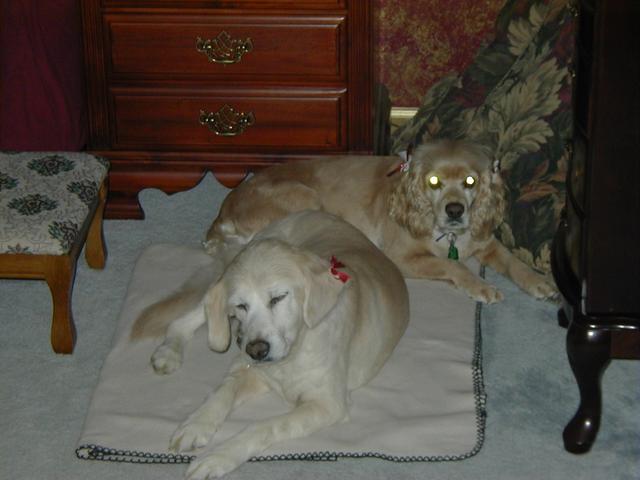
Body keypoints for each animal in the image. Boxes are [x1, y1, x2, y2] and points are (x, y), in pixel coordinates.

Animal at [133, 211, 409, 479]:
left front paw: (218, 457)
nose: (256, 349)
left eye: (278, 298)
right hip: (216, 302)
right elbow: (222, 392)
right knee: (183, 321)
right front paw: (196, 424)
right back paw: (169, 352)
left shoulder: (328, 404)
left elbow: (265, 425)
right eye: (241, 305)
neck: (295, 350)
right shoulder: (249, 369)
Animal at [203, 139, 556, 304]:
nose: (455, 210)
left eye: (471, 181)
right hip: (306, 199)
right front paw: (480, 285)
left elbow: (511, 260)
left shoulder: (484, 240)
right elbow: (452, 266)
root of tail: (223, 212)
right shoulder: (402, 257)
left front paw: (539, 282)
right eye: (434, 181)